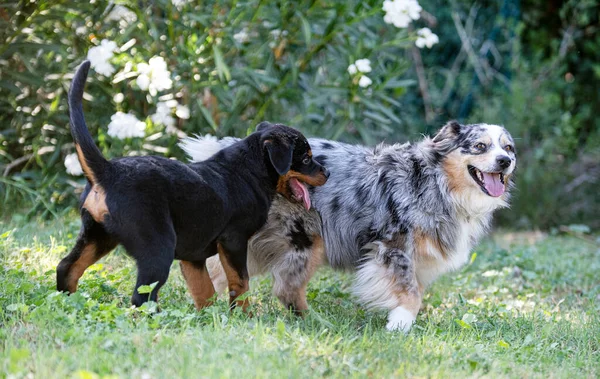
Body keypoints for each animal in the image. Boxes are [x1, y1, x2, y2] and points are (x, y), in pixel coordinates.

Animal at [56, 61, 330, 312]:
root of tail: (108, 171)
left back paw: (67, 303)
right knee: (141, 297)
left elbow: (204, 290)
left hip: (97, 235)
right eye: (306, 159)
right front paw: (244, 315)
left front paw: (207, 319)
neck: (251, 168)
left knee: (67, 267)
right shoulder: (234, 240)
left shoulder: (193, 254)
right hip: (157, 248)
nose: (326, 172)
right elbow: (240, 282)